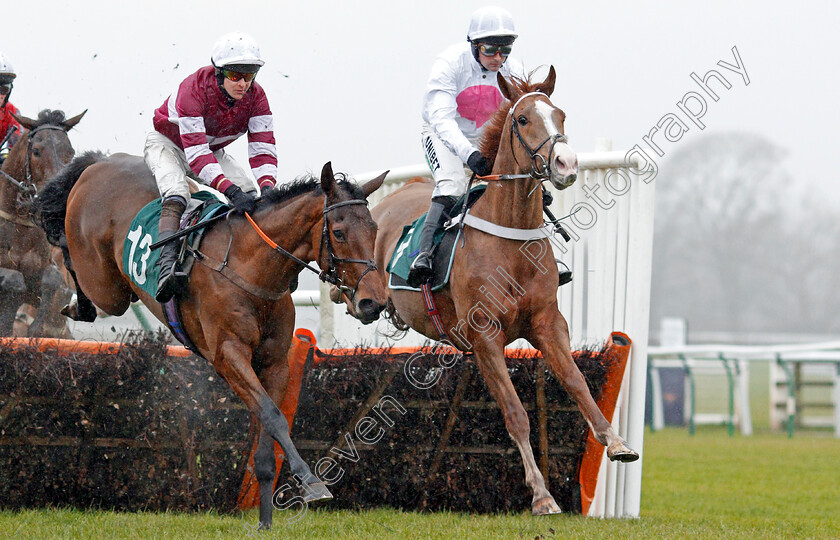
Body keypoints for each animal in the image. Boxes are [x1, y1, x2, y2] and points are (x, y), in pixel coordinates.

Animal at [0, 108, 85, 338]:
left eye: (71, 152)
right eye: (36, 151)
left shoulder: (39, 279)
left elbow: (53, 280)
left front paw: (40, 328)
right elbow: (13, 278)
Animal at [32, 152, 388, 528]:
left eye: (374, 230)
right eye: (339, 232)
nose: (373, 303)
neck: (251, 266)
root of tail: (98, 164)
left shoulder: (275, 363)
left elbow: (268, 432)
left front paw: (264, 521)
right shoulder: (228, 355)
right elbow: (274, 416)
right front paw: (310, 481)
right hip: (104, 285)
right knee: (73, 261)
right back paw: (77, 301)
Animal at [368, 67, 636, 516]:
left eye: (561, 115)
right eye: (523, 119)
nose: (566, 163)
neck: (512, 241)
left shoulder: (548, 323)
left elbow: (578, 383)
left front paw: (616, 443)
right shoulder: (485, 335)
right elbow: (515, 413)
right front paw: (542, 495)